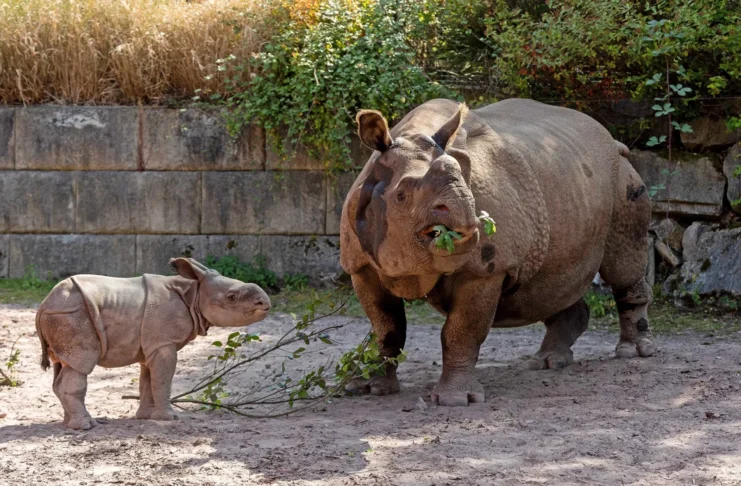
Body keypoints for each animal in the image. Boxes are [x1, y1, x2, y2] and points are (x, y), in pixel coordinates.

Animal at [36, 258, 271, 429]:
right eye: (232, 297)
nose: (265, 304)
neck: (194, 293)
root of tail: (43, 304)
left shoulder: (151, 345)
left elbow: (147, 381)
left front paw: (146, 417)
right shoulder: (164, 344)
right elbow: (163, 380)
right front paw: (169, 418)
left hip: (64, 313)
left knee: (63, 365)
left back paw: (69, 423)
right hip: (71, 314)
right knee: (81, 364)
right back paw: (86, 426)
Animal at [340, 98, 656, 406]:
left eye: (466, 187)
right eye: (401, 195)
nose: (466, 213)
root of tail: (612, 139)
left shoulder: (484, 270)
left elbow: (460, 330)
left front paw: (456, 400)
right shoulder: (361, 266)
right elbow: (386, 328)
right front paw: (372, 388)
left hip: (621, 177)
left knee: (622, 266)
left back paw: (632, 352)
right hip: (568, 180)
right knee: (554, 283)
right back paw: (548, 362)